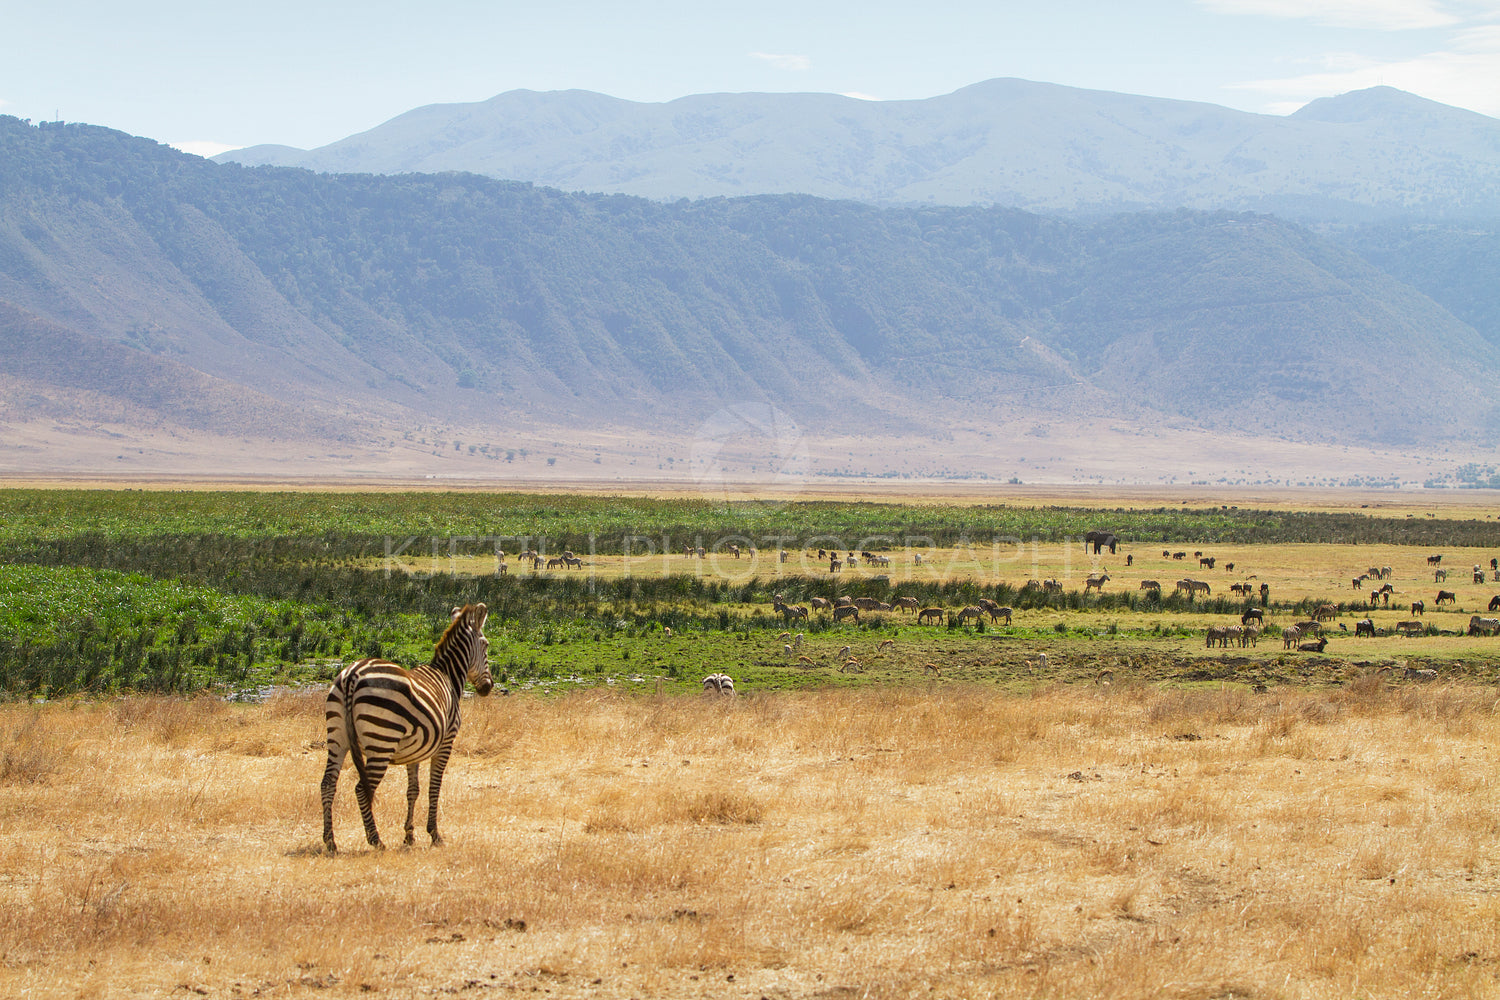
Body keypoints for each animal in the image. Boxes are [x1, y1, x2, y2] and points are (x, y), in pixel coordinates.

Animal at [324, 602, 498, 851]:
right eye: (485, 645)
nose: (487, 687)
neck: (448, 675)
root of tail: (352, 675)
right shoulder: (446, 742)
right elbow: (434, 787)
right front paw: (434, 834)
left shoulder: (414, 750)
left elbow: (412, 790)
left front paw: (409, 835)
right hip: (381, 742)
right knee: (361, 789)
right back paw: (375, 840)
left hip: (337, 736)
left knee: (328, 783)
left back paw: (330, 841)